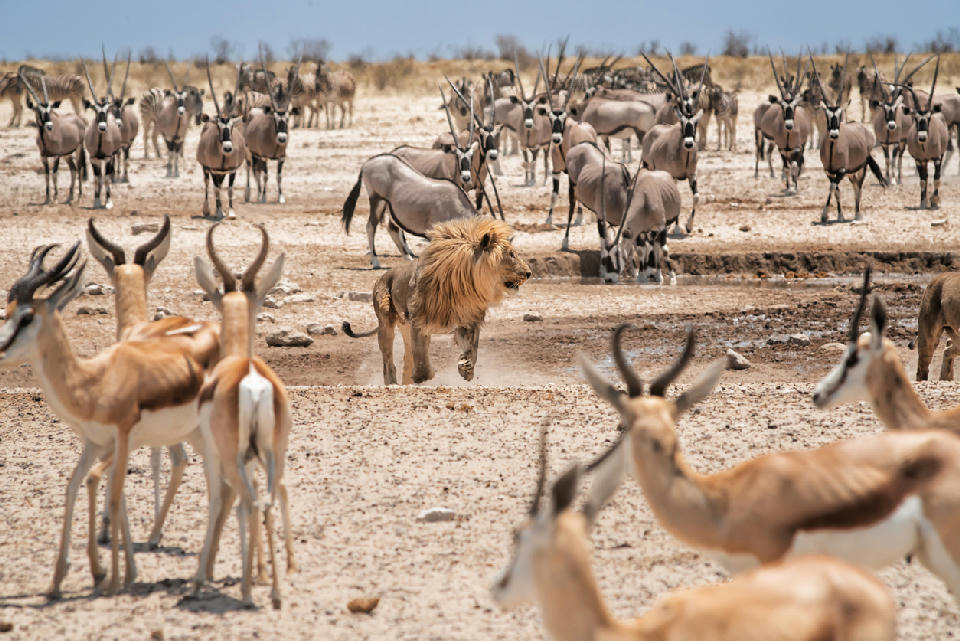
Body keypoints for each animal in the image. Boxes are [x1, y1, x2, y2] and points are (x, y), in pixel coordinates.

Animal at [342, 218, 531, 384]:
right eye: (511, 254)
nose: (529, 273)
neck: (466, 287)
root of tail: (383, 275)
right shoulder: (419, 322)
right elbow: (421, 356)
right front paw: (425, 376)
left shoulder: (467, 322)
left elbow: (472, 349)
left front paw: (467, 368)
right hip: (386, 322)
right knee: (388, 360)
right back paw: (393, 383)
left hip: (405, 327)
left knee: (407, 358)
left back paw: (406, 382)